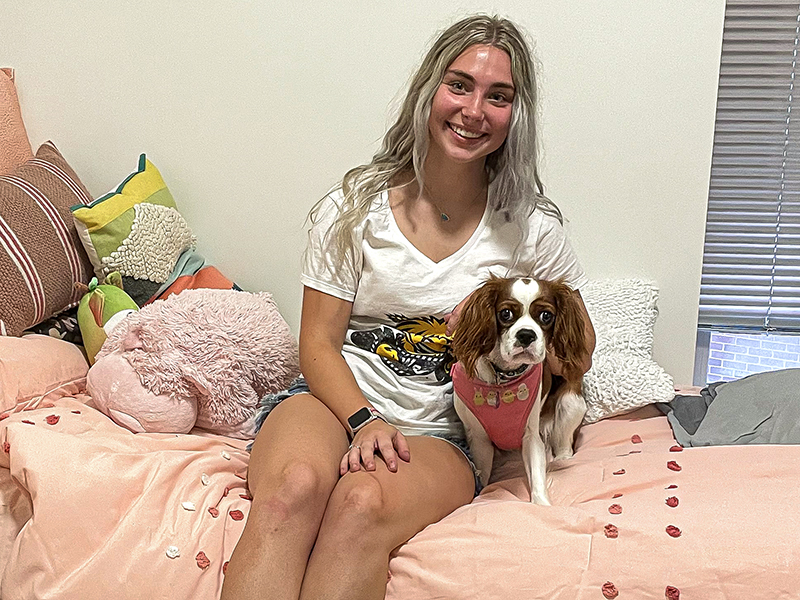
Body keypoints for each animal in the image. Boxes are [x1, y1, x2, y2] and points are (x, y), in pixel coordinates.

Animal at [450, 278, 588, 504]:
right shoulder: (479, 439)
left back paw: (562, 457)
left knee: (564, 442)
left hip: (571, 401)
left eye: (546, 316)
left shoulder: (531, 436)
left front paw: (542, 504)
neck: (504, 378)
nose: (526, 334)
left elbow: (538, 476)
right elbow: (482, 475)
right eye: (505, 313)